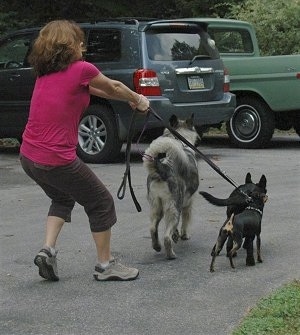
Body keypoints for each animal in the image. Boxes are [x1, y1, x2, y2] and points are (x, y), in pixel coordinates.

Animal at [143, 115, 199, 260]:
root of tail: (163, 169)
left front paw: (176, 235)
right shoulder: (188, 203)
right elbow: (185, 221)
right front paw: (184, 235)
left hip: (156, 207)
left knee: (152, 228)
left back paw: (157, 246)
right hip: (174, 207)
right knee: (167, 237)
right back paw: (171, 254)